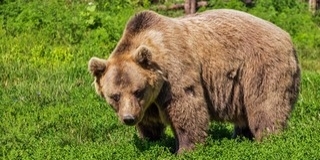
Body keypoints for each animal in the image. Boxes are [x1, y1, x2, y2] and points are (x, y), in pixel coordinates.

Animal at [87, 9, 300, 154]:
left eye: (138, 91)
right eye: (114, 96)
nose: (129, 118)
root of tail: (287, 37)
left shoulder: (175, 72)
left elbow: (187, 108)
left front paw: (185, 149)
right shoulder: (149, 101)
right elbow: (149, 121)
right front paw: (150, 139)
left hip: (260, 67)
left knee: (266, 105)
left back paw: (268, 140)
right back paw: (241, 135)